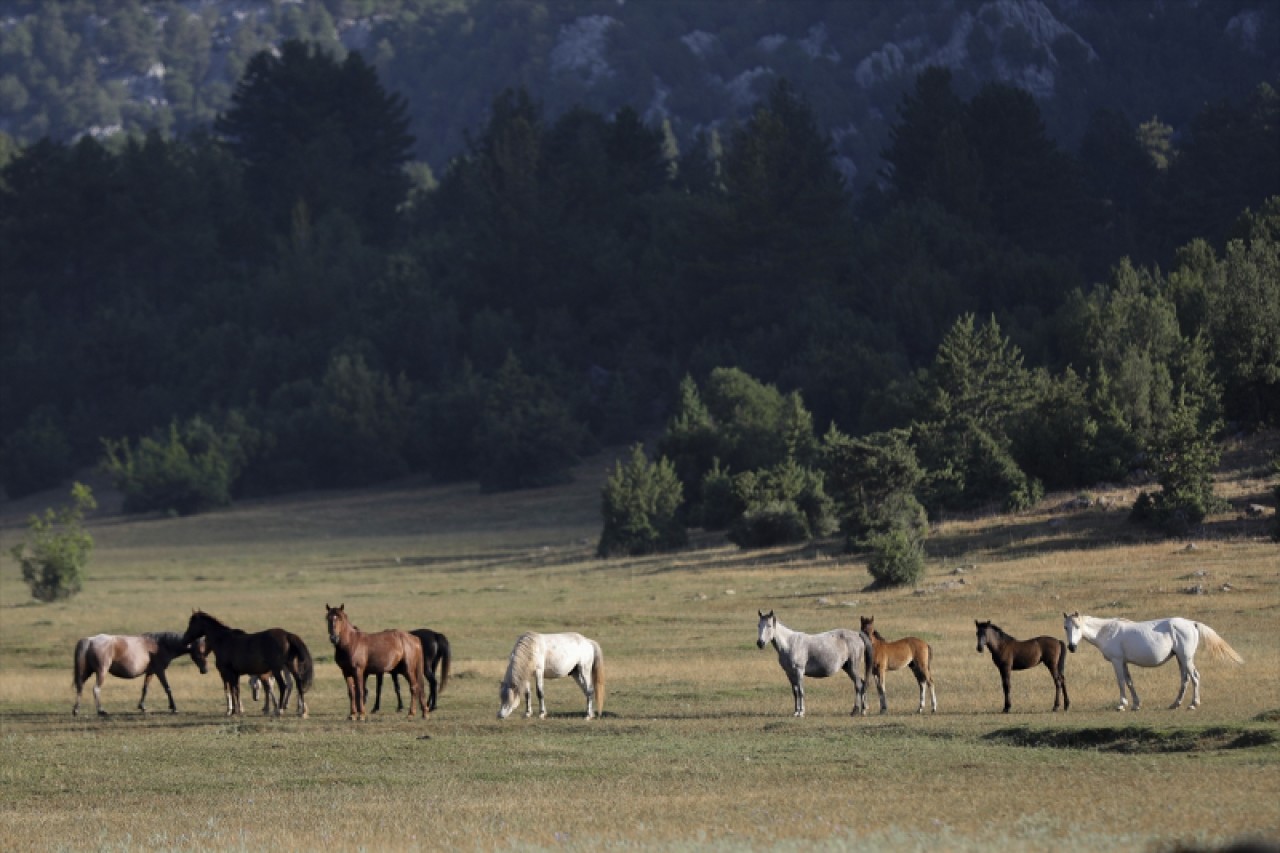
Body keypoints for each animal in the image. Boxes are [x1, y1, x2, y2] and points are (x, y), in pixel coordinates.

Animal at [72, 627, 208, 712]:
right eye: (200, 652)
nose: (205, 670)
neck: (161, 644)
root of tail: (90, 640)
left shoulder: (150, 672)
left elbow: (145, 688)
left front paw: (142, 706)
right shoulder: (159, 671)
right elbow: (167, 687)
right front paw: (174, 707)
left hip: (87, 672)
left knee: (80, 687)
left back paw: (76, 710)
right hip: (101, 672)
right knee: (96, 689)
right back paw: (101, 710)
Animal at [1064, 607, 1244, 706]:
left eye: (1077, 626)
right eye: (1065, 627)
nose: (1071, 647)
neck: (1107, 631)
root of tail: (1192, 623)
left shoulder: (1117, 661)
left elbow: (1121, 681)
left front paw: (1122, 704)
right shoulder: (1124, 662)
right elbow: (1129, 681)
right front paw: (1136, 704)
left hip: (1186, 658)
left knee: (1195, 676)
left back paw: (1193, 704)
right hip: (1180, 658)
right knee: (1185, 679)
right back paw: (1175, 704)